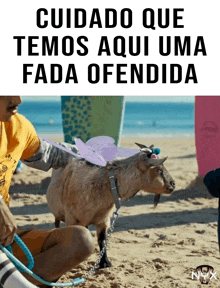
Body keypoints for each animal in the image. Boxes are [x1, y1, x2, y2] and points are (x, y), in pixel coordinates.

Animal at [46, 145, 175, 268]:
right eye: (159, 169)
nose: (173, 184)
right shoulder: (72, 219)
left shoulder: (104, 220)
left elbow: (102, 240)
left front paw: (105, 262)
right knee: (57, 225)